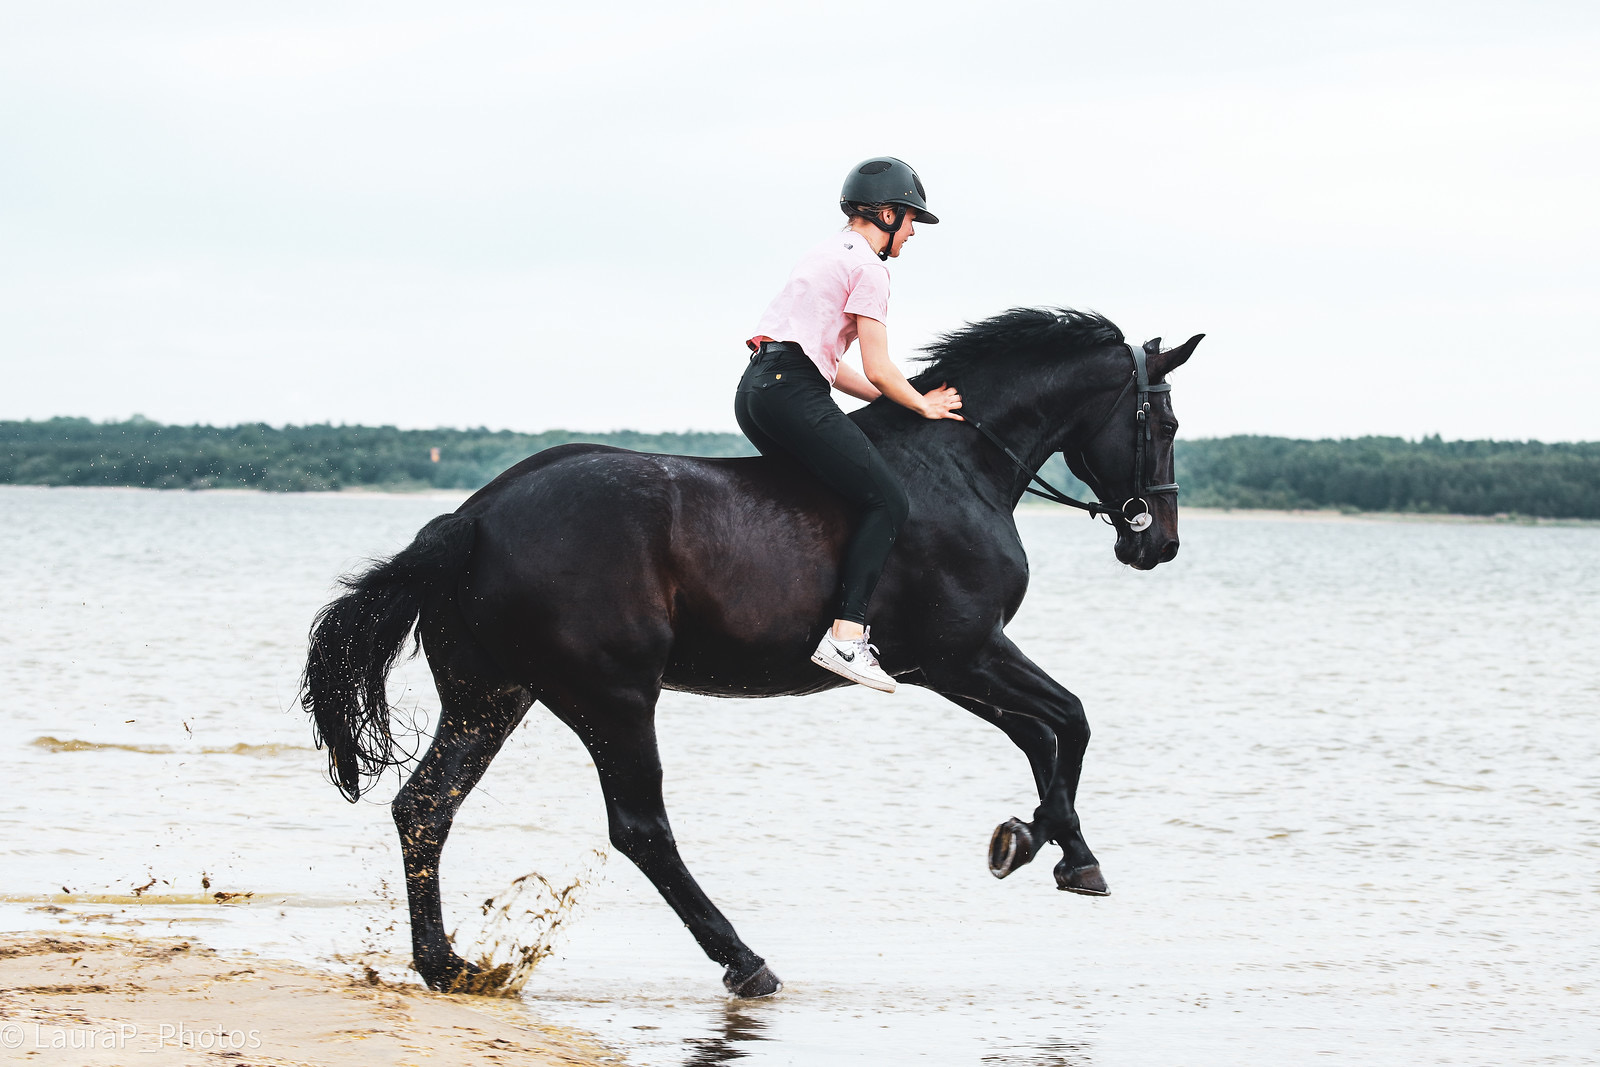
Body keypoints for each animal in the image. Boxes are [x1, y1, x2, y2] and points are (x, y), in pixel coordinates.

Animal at [299, 307, 1201, 998]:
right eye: (1165, 422)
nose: (1158, 543)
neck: (960, 465)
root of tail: (473, 518)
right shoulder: (961, 653)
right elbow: (1069, 721)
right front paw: (1048, 846)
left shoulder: (954, 664)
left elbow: (1048, 731)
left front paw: (1036, 842)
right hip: (613, 696)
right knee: (640, 828)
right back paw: (744, 960)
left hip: (493, 695)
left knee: (426, 806)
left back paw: (448, 967)